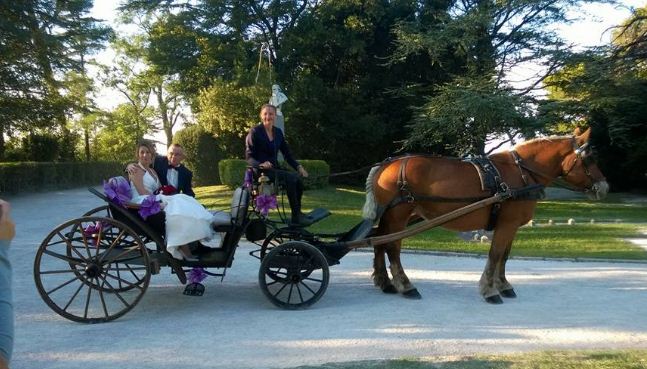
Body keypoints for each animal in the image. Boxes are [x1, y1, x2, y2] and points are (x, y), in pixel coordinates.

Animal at [362, 128, 612, 304]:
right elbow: (495, 255)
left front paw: (504, 285)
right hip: (398, 216)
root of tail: (387, 164)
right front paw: (490, 291)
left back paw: (385, 282)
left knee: (379, 242)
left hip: (391, 217)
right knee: (392, 247)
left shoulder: (511, 226)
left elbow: (504, 256)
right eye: (589, 159)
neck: (522, 173)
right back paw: (406, 285)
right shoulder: (506, 224)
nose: (604, 187)